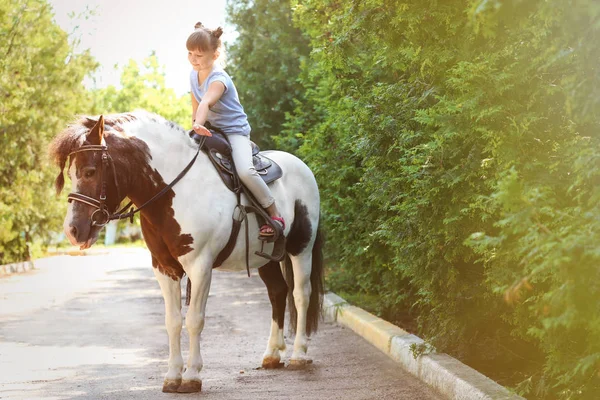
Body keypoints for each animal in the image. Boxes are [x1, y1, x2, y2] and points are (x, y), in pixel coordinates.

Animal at [49, 111, 324, 392]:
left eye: (90, 171)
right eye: (70, 173)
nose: (72, 230)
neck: (175, 192)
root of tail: (301, 166)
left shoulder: (200, 267)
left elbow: (194, 319)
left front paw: (192, 376)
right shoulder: (164, 268)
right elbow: (172, 321)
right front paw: (172, 376)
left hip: (302, 247)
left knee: (301, 294)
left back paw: (299, 354)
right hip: (266, 258)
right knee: (278, 293)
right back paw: (272, 354)